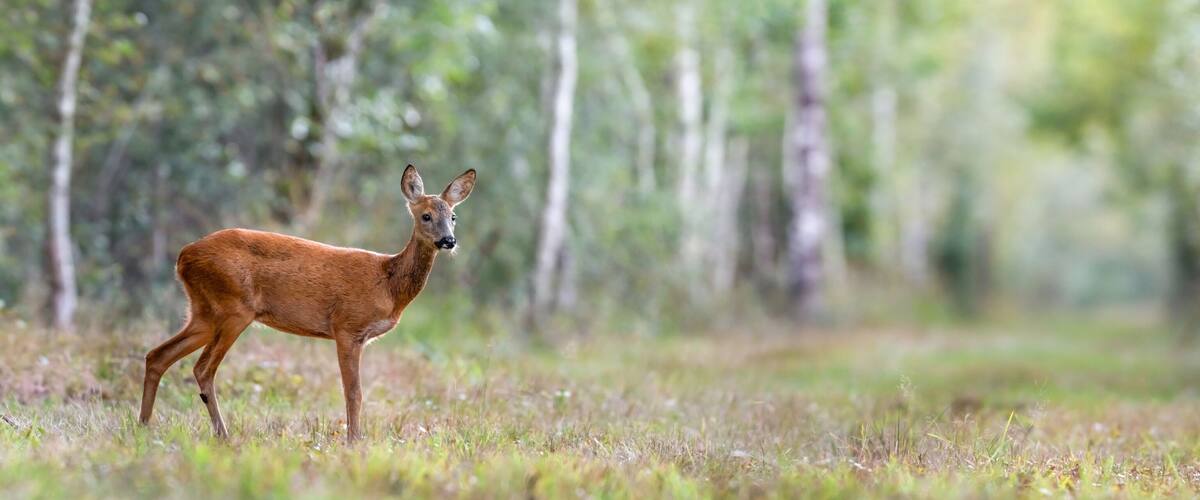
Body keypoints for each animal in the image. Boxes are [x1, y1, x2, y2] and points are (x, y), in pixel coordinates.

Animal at [138, 165, 475, 441]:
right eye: (426, 215)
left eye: (453, 217)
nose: (448, 241)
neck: (389, 284)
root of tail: (183, 257)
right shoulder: (347, 327)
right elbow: (354, 392)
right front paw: (354, 441)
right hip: (234, 308)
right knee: (202, 368)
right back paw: (222, 435)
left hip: (204, 312)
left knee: (157, 355)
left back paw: (144, 426)